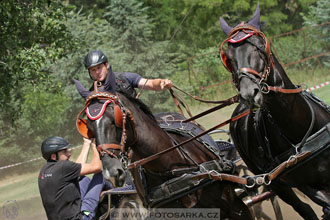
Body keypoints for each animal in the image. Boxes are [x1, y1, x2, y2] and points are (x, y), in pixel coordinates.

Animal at [219, 3, 330, 220]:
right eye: (228, 58)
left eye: (259, 45)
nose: (248, 94)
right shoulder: (309, 186)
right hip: (275, 183)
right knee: (304, 209)